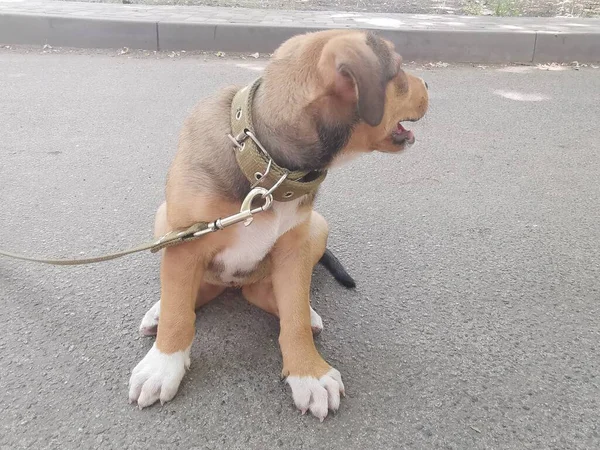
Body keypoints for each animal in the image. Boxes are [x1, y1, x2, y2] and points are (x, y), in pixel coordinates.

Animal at [127, 29, 426, 420]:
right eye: (400, 70)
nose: (428, 85)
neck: (268, 167)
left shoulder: (294, 248)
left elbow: (293, 317)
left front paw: (309, 373)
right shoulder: (186, 241)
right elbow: (180, 313)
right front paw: (163, 367)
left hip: (317, 227)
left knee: (264, 295)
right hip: (165, 219)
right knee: (193, 292)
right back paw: (160, 311)